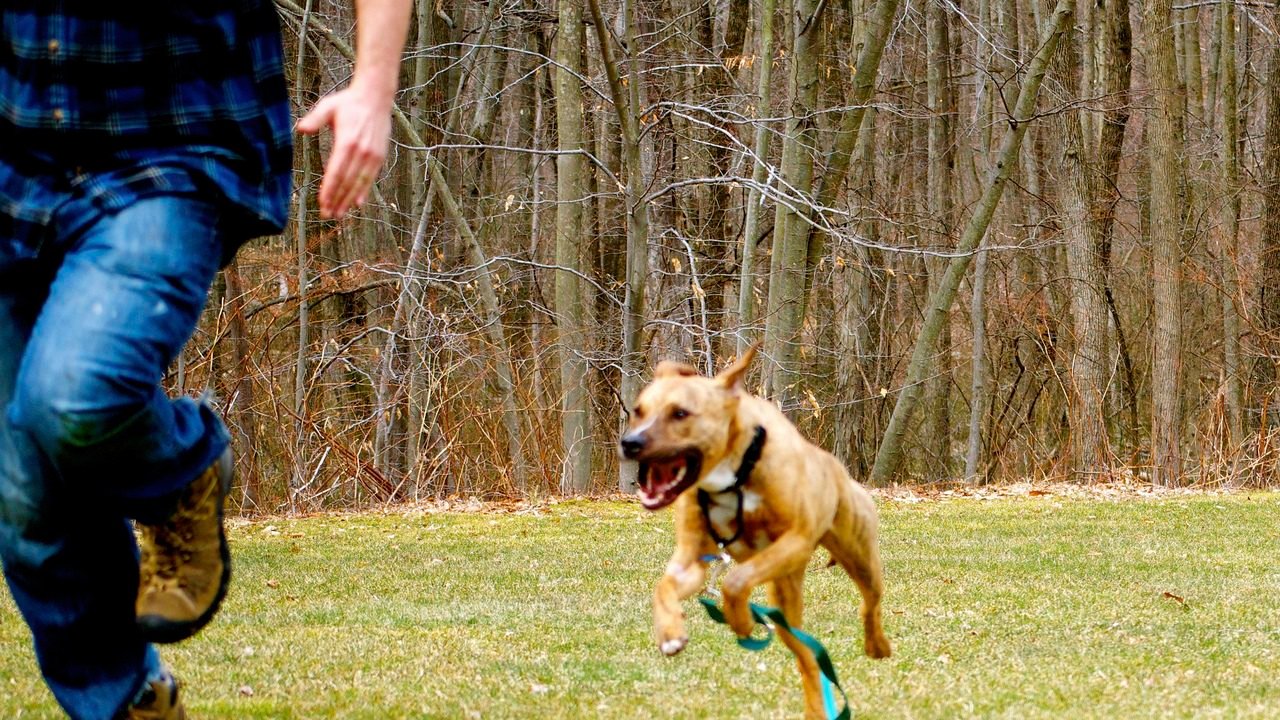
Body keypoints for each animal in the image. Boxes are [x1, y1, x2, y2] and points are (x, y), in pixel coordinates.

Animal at [619, 345, 890, 712]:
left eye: (680, 413)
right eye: (638, 411)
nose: (630, 443)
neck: (732, 474)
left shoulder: (796, 540)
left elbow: (734, 581)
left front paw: (742, 619)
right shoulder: (691, 561)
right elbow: (663, 587)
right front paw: (670, 633)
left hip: (858, 557)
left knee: (870, 602)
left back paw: (877, 645)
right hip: (785, 603)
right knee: (807, 659)